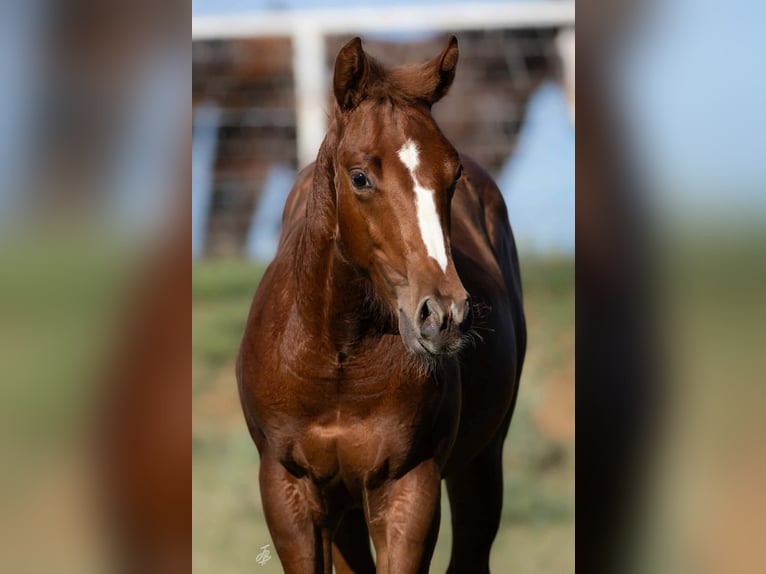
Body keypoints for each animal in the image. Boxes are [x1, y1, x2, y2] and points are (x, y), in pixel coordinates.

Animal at [237, 35, 526, 574]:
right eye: (360, 178)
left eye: (453, 174)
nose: (444, 315)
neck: (339, 358)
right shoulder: (288, 491)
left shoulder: (409, 487)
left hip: (481, 463)